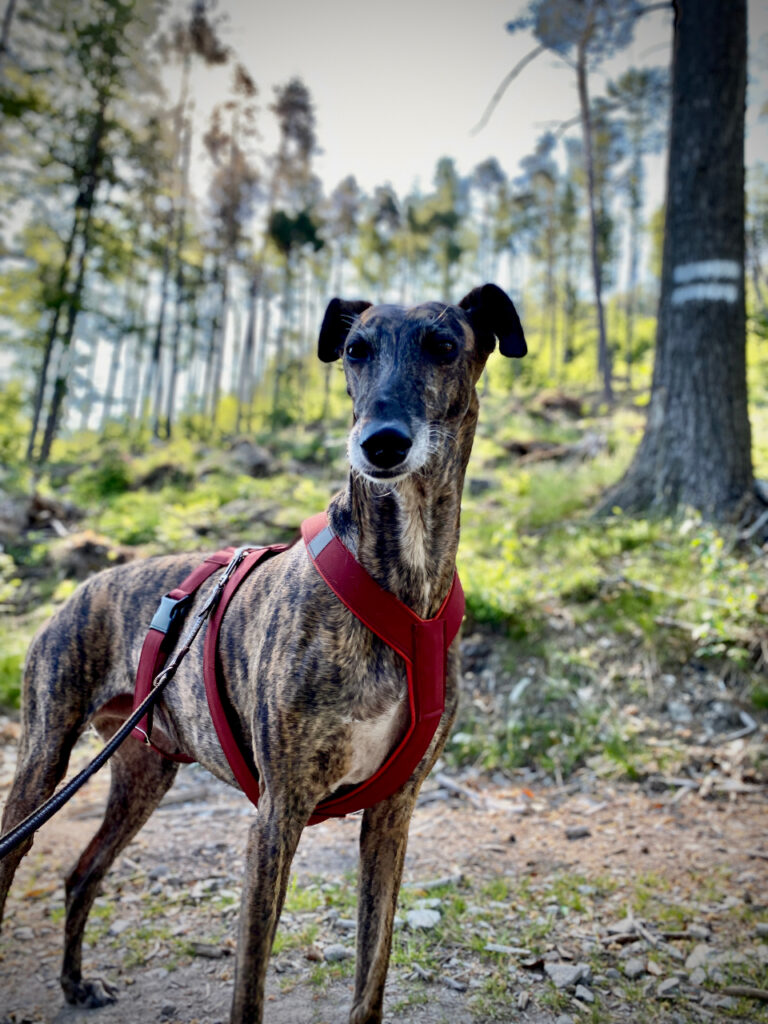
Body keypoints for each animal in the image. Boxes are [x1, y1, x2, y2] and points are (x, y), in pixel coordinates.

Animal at [0, 282, 528, 1024]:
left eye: (444, 345)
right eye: (355, 349)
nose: (380, 444)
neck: (403, 584)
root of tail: (85, 585)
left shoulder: (392, 817)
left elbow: (371, 976)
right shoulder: (278, 816)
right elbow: (249, 985)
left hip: (142, 773)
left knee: (82, 874)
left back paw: (76, 983)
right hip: (44, 756)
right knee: (12, 860)